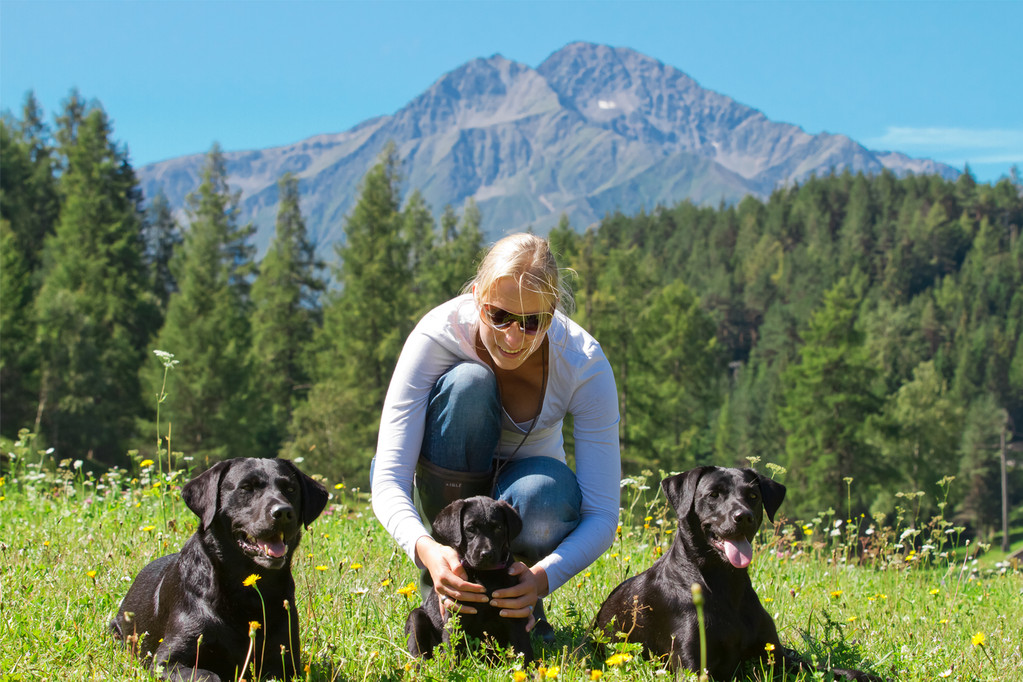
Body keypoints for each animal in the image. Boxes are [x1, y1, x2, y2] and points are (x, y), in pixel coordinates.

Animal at [108, 458, 325, 682]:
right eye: (246, 488)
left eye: (290, 489)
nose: (283, 512)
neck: (247, 592)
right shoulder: (166, 662)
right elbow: (208, 675)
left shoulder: (286, 664)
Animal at [405, 496, 536, 666]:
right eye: (471, 529)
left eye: (498, 528)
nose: (486, 554)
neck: (485, 575)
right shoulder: (456, 613)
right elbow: (452, 646)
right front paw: (452, 669)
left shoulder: (514, 610)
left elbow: (523, 647)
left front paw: (529, 669)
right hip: (416, 618)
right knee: (419, 651)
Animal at [597, 466, 883, 682]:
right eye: (713, 494)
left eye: (753, 496)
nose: (743, 516)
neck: (724, 584)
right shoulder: (692, 665)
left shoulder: (776, 657)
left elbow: (824, 669)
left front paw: (861, 674)